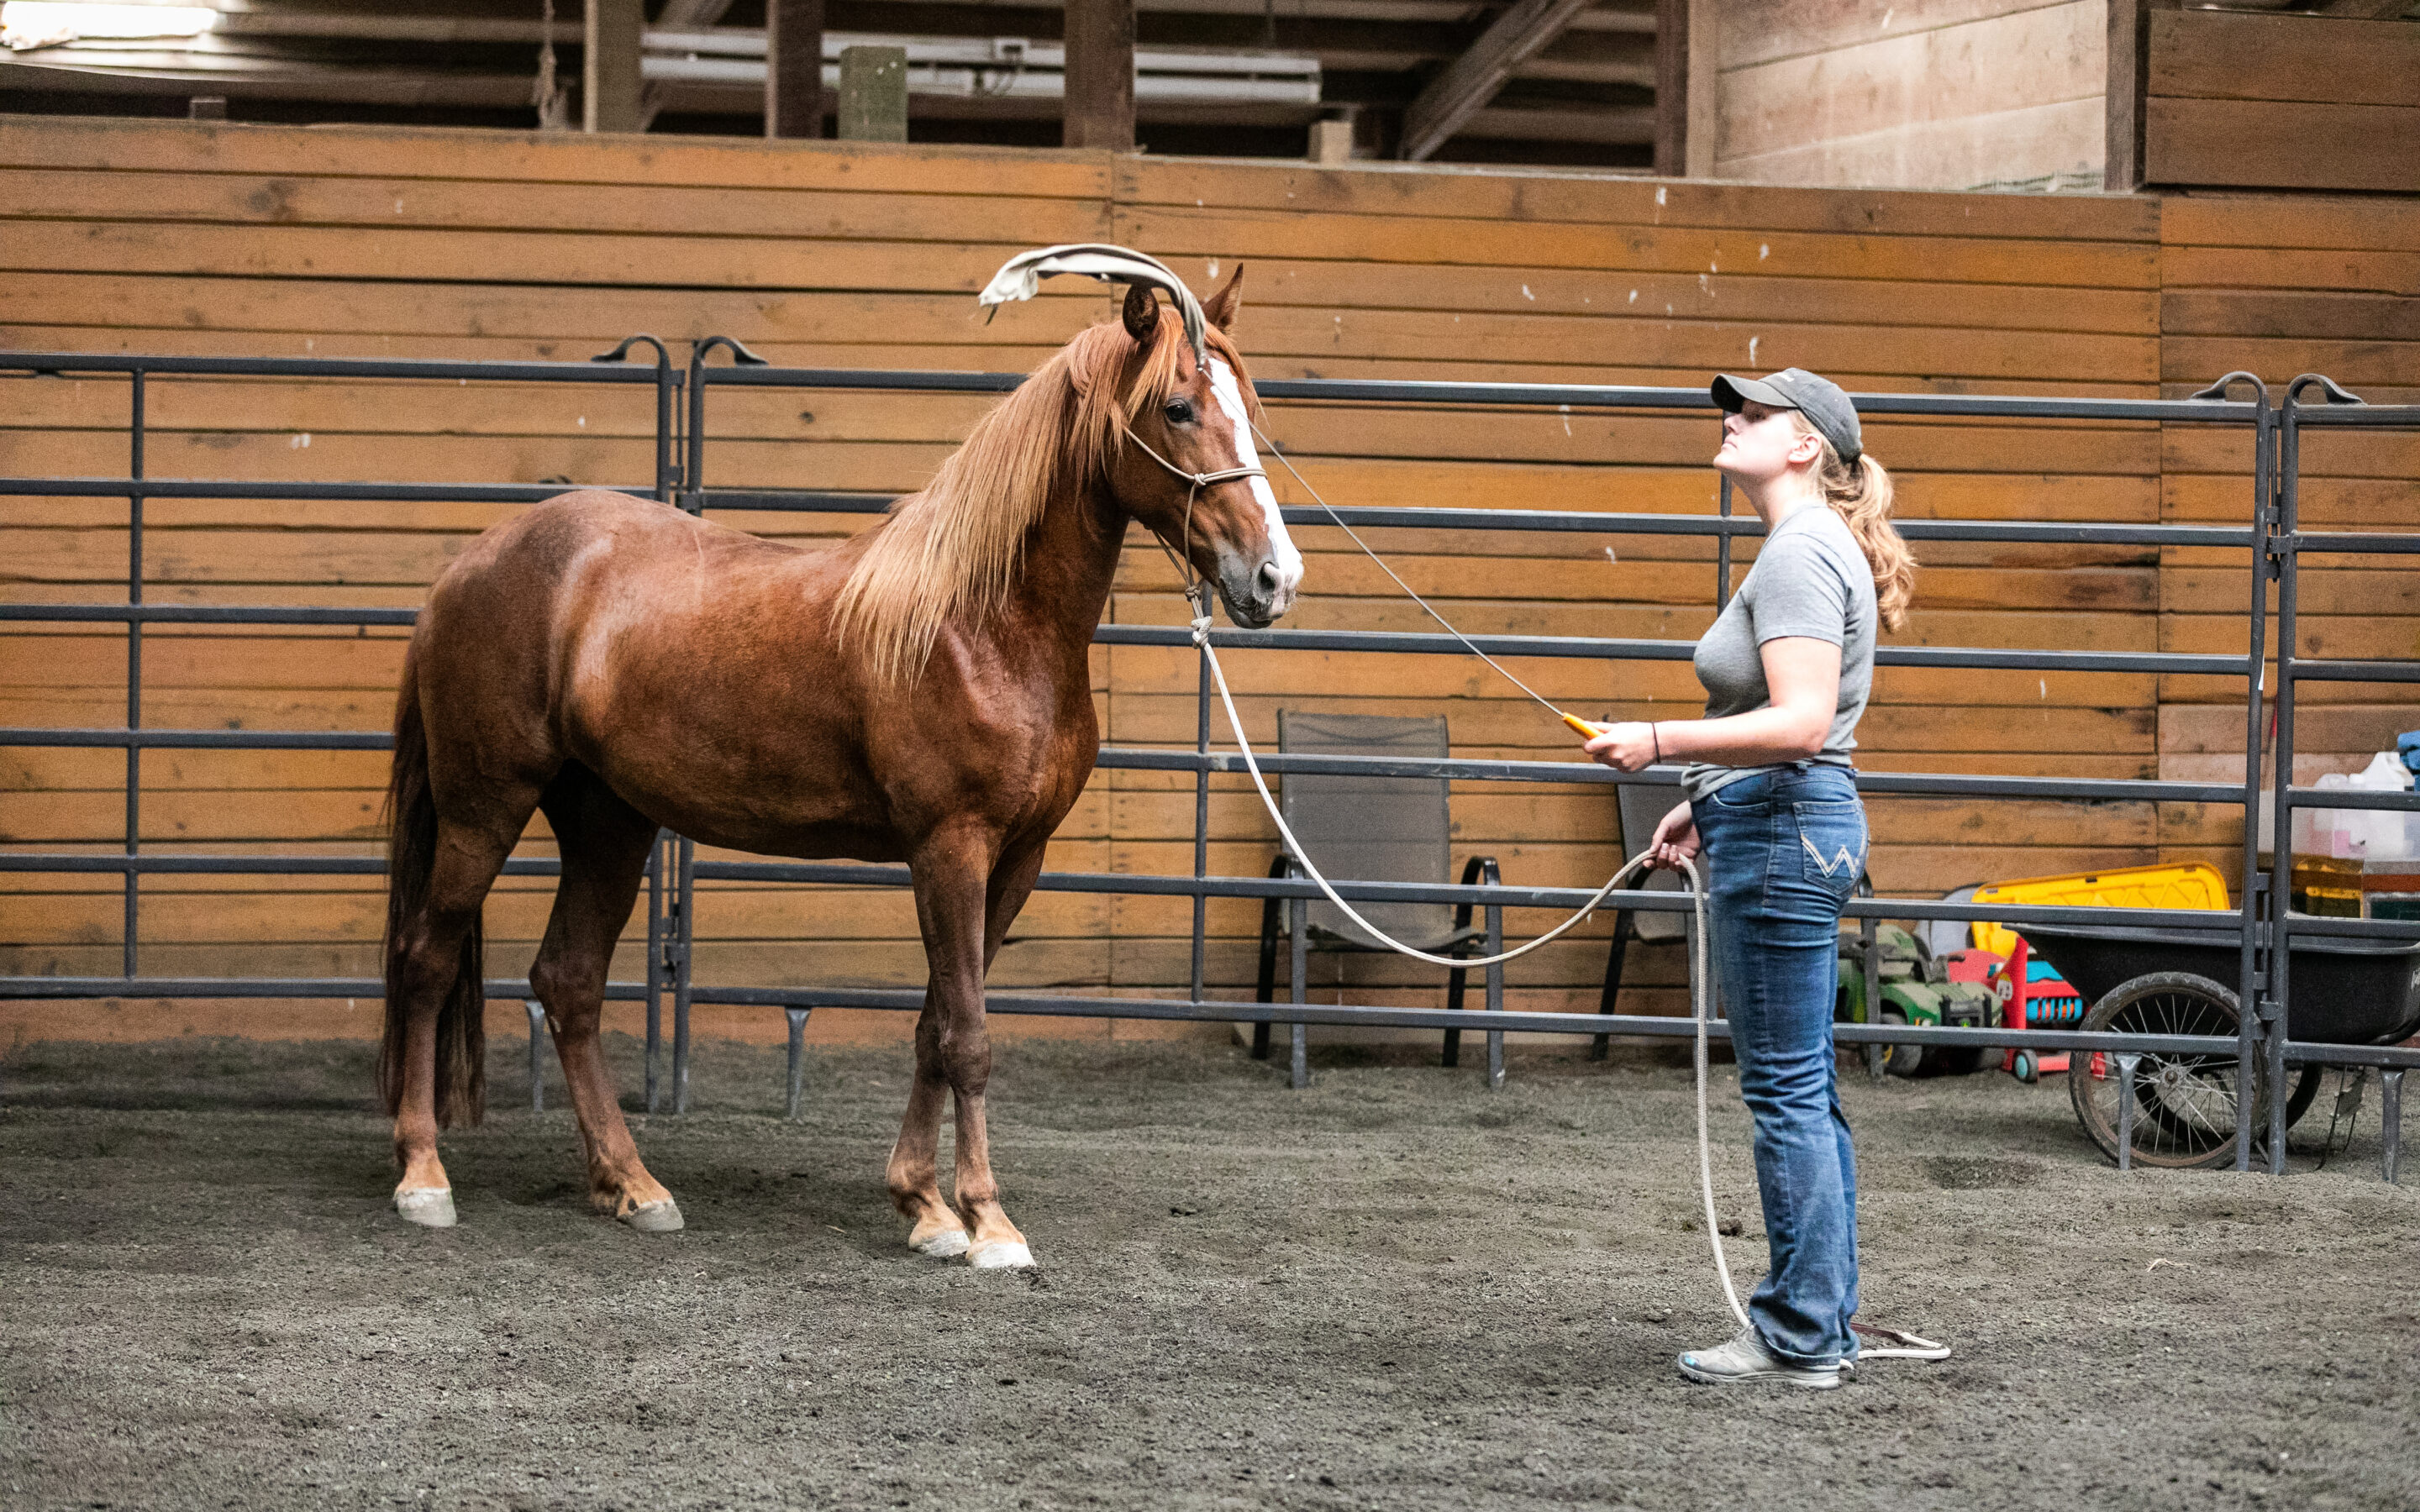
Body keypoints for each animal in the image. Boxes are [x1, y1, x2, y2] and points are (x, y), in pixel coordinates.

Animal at [372, 268, 1307, 1257]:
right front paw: (987, 1222)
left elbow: (937, 1025)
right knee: (427, 958)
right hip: (484, 808)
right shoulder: (950, 848)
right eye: (1177, 407)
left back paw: (632, 1184)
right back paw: (425, 1177)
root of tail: (466, 568)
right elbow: (968, 1036)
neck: (982, 625)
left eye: (1249, 408)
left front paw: (924, 1205)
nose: (1274, 579)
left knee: (569, 983)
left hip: (608, 821)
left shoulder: (1016, 860)